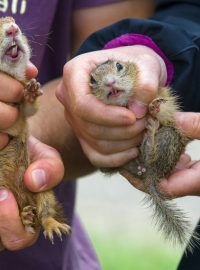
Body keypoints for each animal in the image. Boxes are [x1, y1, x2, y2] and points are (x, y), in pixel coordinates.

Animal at [0, 15, 71, 250]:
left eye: (13, 21)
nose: (13, 29)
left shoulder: (22, 112)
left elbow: (30, 109)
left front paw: (31, 91)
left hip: (42, 191)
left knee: (45, 213)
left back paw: (45, 223)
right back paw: (25, 217)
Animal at [90, 59, 198, 251]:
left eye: (119, 66)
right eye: (92, 80)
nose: (110, 82)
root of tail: (151, 175)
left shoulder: (165, 100)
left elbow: (164, 111)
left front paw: (155, 107)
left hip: (169, 136)